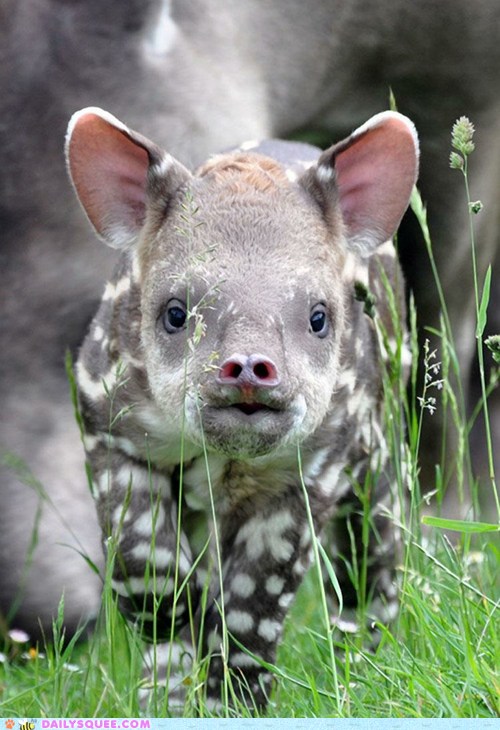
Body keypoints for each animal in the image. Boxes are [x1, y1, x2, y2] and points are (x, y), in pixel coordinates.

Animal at [65, 108, 418, 704]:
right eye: (176, 312)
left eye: (319, 316)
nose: (250, 368)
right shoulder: (111, 434)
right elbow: (150, 572)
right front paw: (167, 689)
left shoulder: (305, 474)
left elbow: (252, 610)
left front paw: (233, 701)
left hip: (378, 453)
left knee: (370, 562)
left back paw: (368, 666)